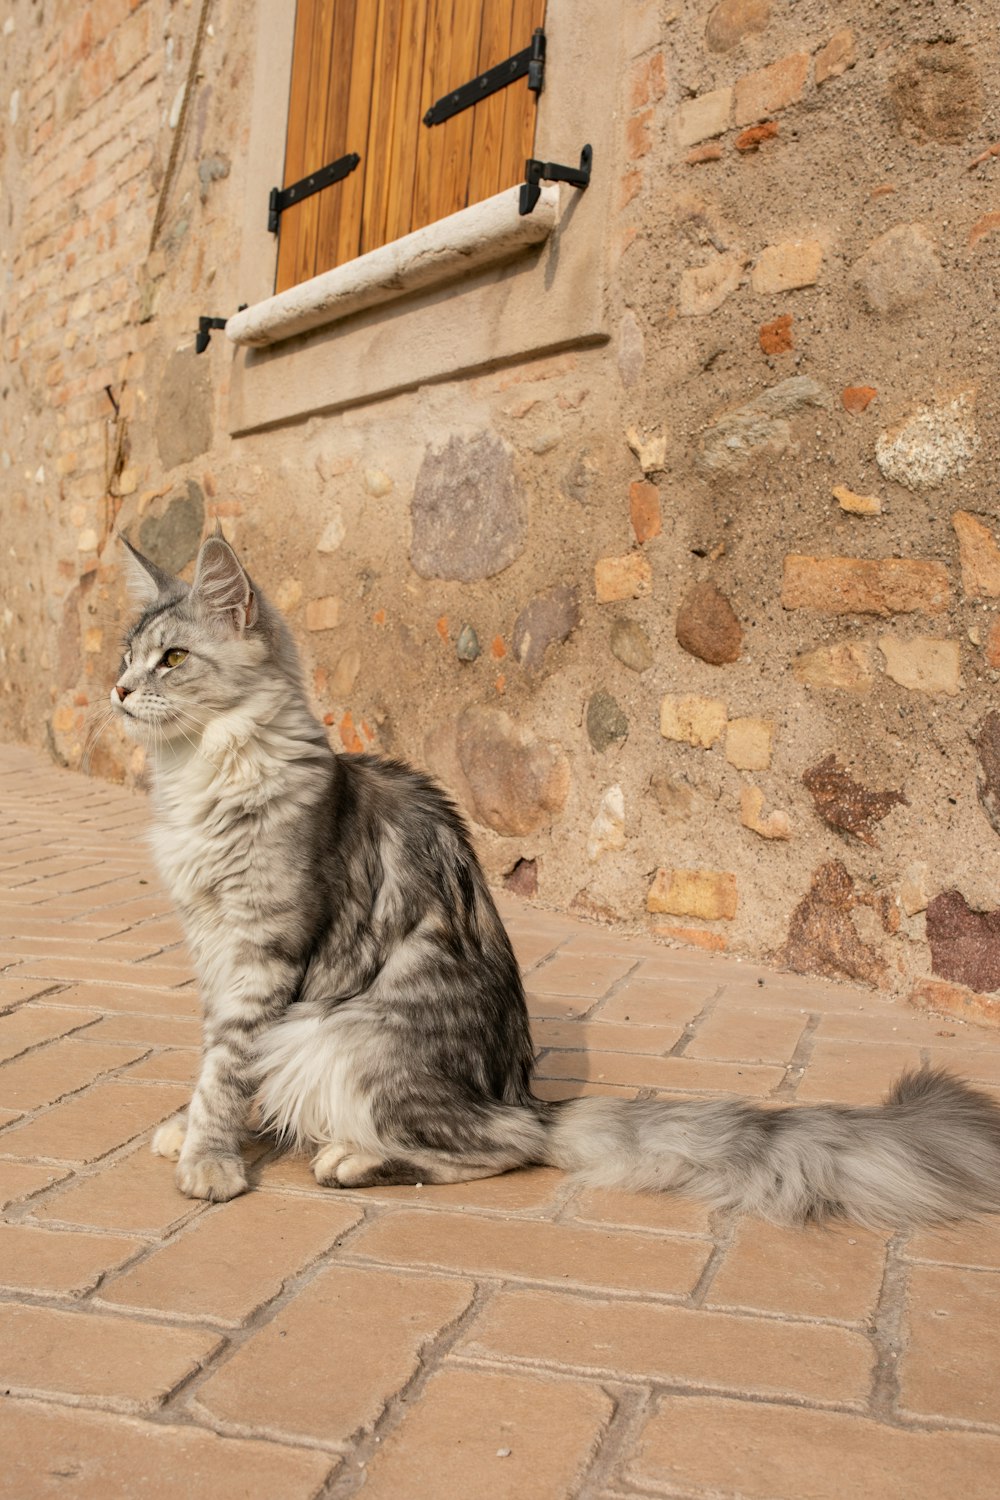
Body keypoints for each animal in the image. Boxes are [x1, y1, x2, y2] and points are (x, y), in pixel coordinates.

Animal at [109, 534, 1000, 1224]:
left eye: (173, 660)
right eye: (126, 657)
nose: (117, 691)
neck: (198, 778)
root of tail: (523, 1095)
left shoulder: (263, 951)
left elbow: (229, 1067)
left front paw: (210, 1161)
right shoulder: (216, 950)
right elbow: (213, 1062)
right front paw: (192, 1129)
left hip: (338, 1035)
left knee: (503, 1149)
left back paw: (352, 1159)